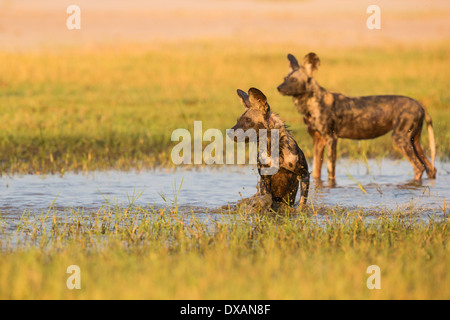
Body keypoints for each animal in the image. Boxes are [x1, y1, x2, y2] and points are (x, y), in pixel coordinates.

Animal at [278, 53, 436, 182]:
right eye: (285, 79)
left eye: (293, 80)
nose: (278, 87)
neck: (311, 104)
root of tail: (419, 104)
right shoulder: (318, 141)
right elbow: (317, 172)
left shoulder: (331, 139)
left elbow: (330, 171)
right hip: (413, 141)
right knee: (430, 168)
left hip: (400, 139)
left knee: (418, 167)